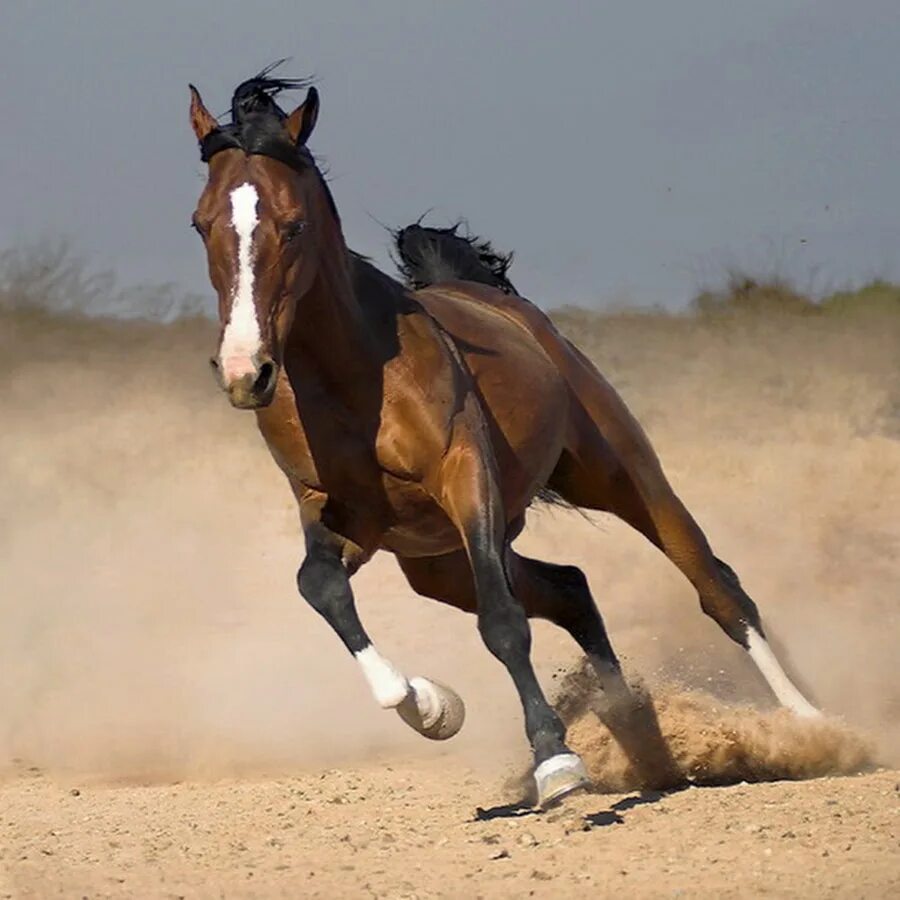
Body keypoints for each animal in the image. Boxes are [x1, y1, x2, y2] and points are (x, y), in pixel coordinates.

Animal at [186, 72, 820, 808]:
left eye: (294, 224)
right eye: (201, 223)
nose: (245, 372)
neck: (354, 379)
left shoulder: (467, 480)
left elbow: (502, 622)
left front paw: (556, 761)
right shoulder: (333, 510)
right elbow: (318, 586)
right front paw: (431, 706)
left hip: (619, 476)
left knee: (714, 584)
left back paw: (808, 723)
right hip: (435, 565)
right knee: (569, 587)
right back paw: (633, 722)